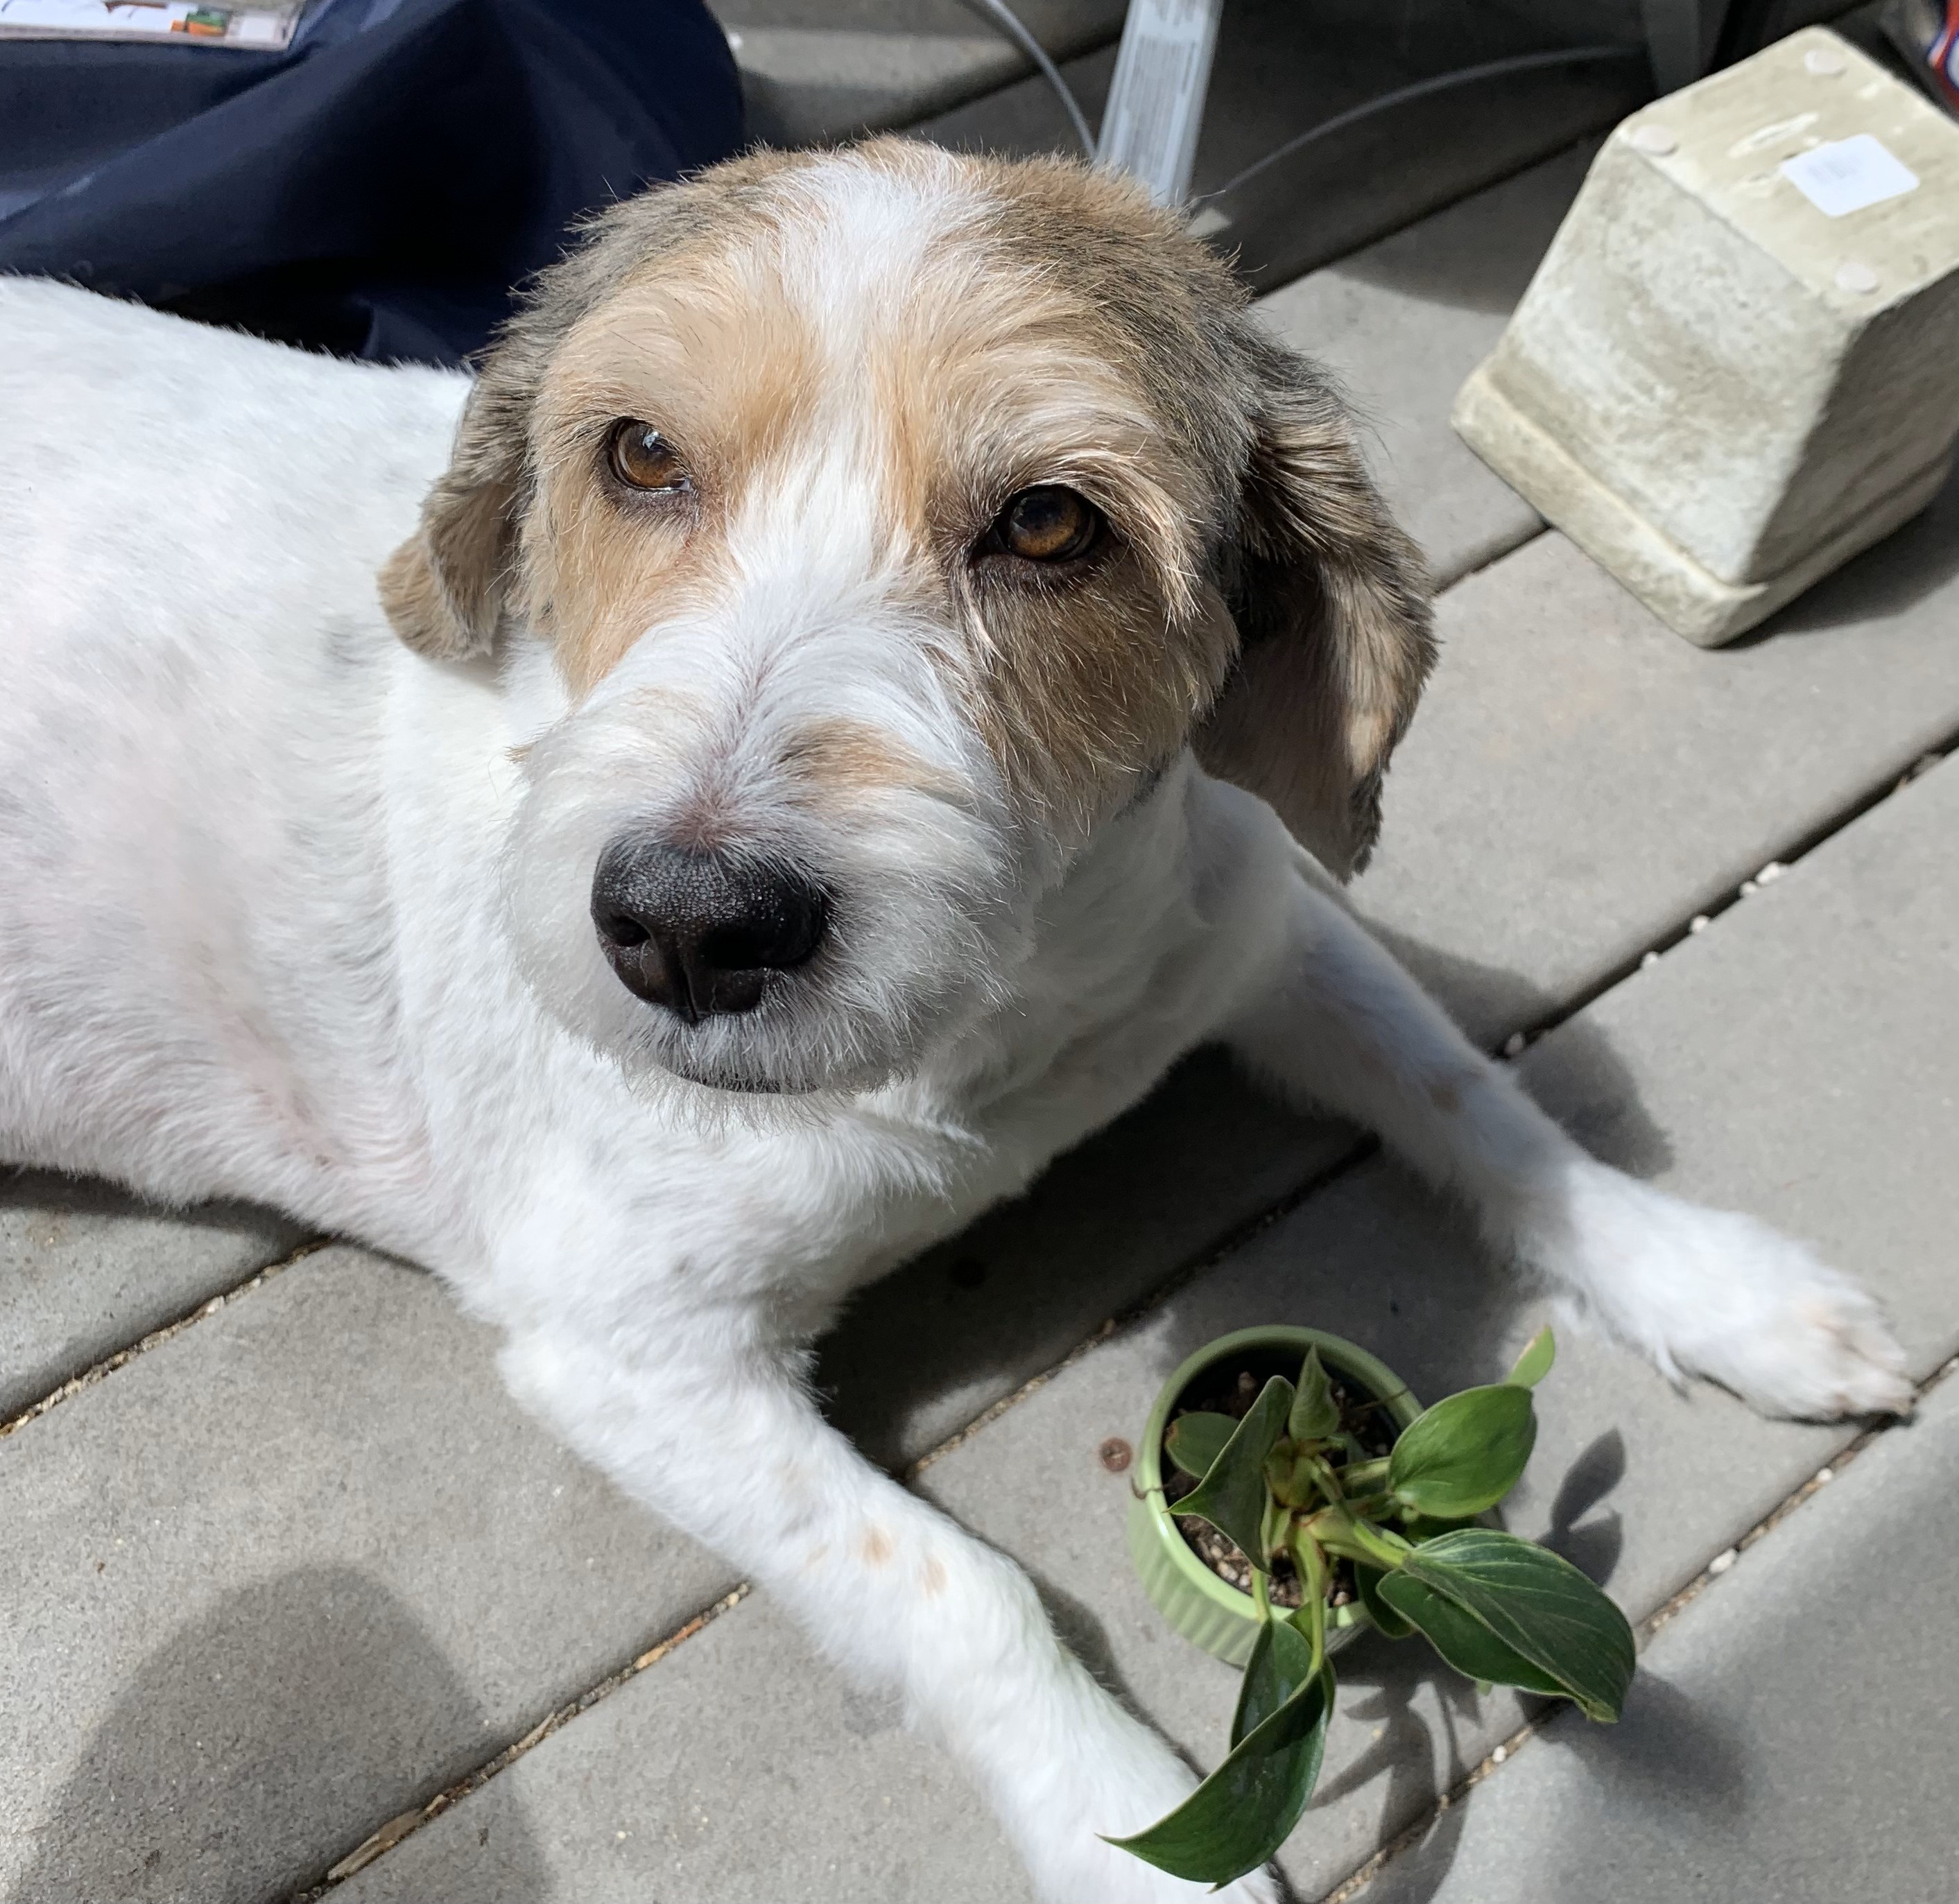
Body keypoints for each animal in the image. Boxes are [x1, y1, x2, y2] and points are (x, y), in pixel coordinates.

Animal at [0, 141, 1904, 1896]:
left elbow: (1473, 1096)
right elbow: (959, 1588)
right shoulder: (628, 1345)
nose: (686, 928)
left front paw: (1719, 1285)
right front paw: (1123, 1824)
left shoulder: (1257, 921)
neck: (998, 1018)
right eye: (639, 454)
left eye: (1051, 522)